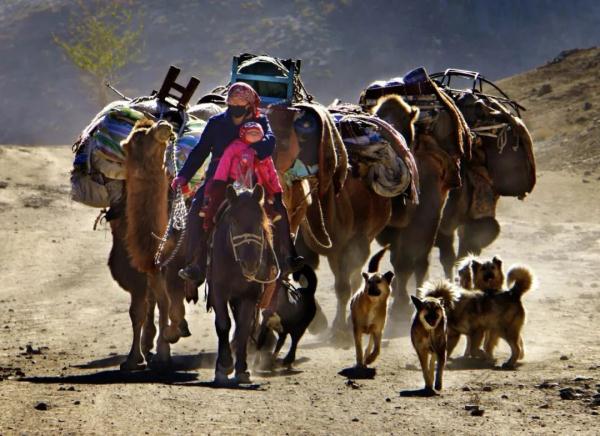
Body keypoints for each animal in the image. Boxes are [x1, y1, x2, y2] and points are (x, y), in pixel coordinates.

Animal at [109, 119, 189, 372]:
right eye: (137, 136)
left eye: (153, 124)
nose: (163, 125)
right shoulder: (135, 266)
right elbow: (138, 311)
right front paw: (133, 358)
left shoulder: (173, 263)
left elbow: (168, 304)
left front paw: (165, 348)